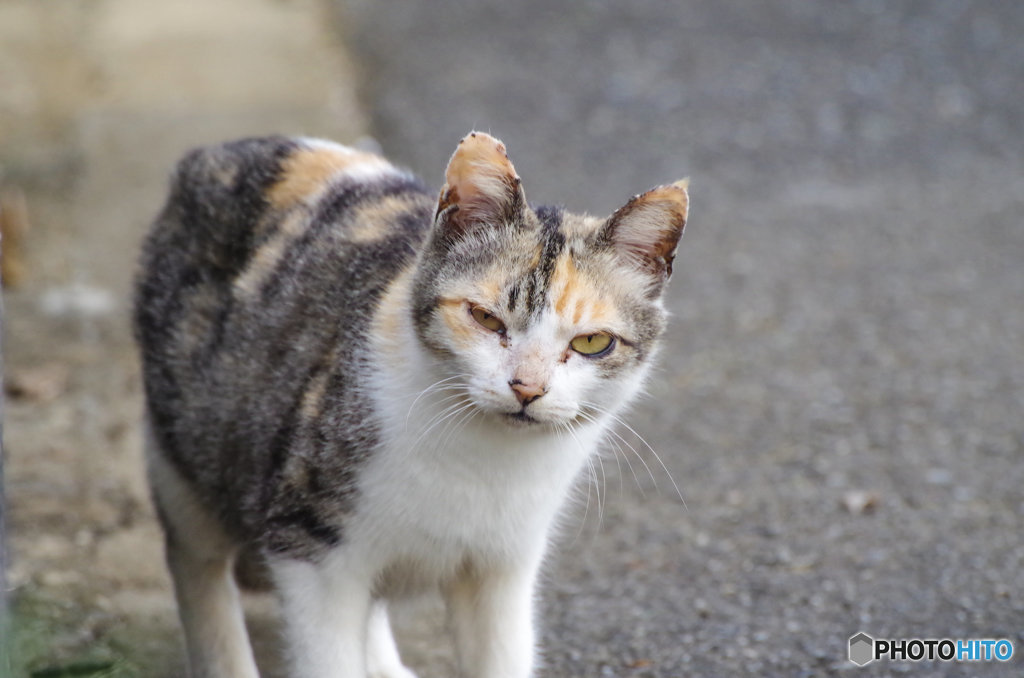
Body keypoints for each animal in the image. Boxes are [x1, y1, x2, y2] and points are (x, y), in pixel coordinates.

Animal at [134, 129, 688, 678]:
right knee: (196, 562)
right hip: (184, 451)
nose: (527, 388)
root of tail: (227, 148)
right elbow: (328, 657)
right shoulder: (309, 547)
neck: (482, 464)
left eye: (592, 342)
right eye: (485, 318)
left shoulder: (503, 570)